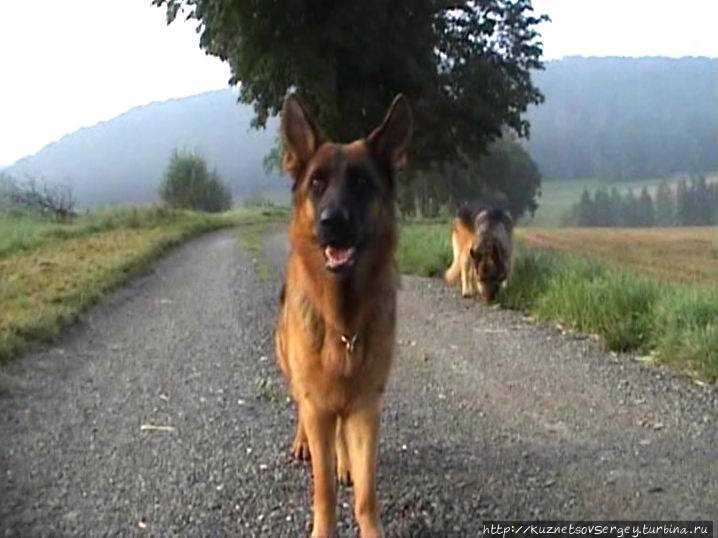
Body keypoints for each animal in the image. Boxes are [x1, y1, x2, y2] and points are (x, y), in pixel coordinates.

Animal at [274, 94, 414, 532]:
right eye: (317, 183)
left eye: (360, 182)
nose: (331, 222)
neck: (343, 322)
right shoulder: (317, 405)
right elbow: (324, 492)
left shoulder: (366, 409)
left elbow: (366, 495)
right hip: (292, 372)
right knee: (300, 408)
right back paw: (303, 442)